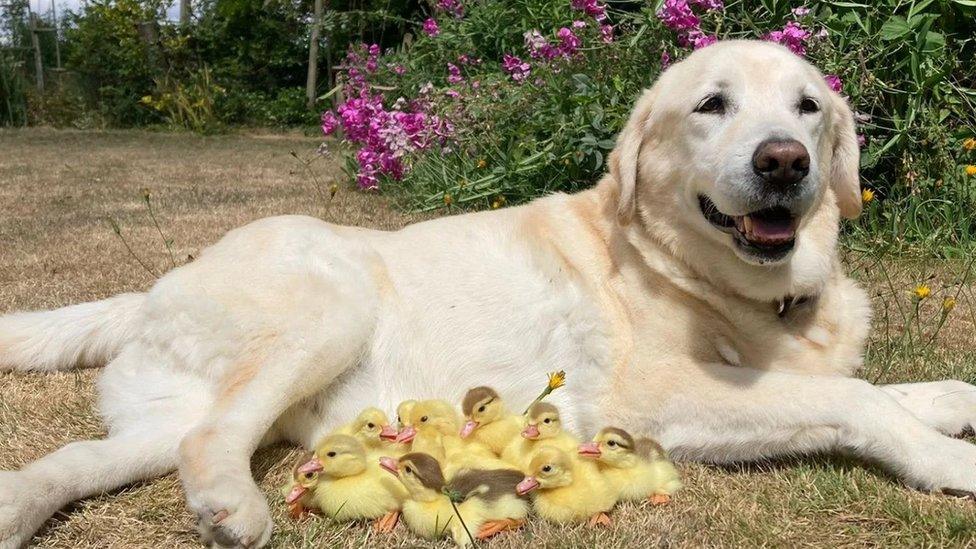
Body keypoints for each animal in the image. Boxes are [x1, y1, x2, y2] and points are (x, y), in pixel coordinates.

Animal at [1, 40, 976, 544]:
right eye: (712, 105)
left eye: (809, 107)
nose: (785, 162)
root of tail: (160, 282)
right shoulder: (654, 396)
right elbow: (859, 399)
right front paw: (951, 461)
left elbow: (917, 389)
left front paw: (952, 409)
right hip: (328, 306)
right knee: (210, 439)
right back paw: (233, 509)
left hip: (155, 417)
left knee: (99, 454)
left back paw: (17, 507)